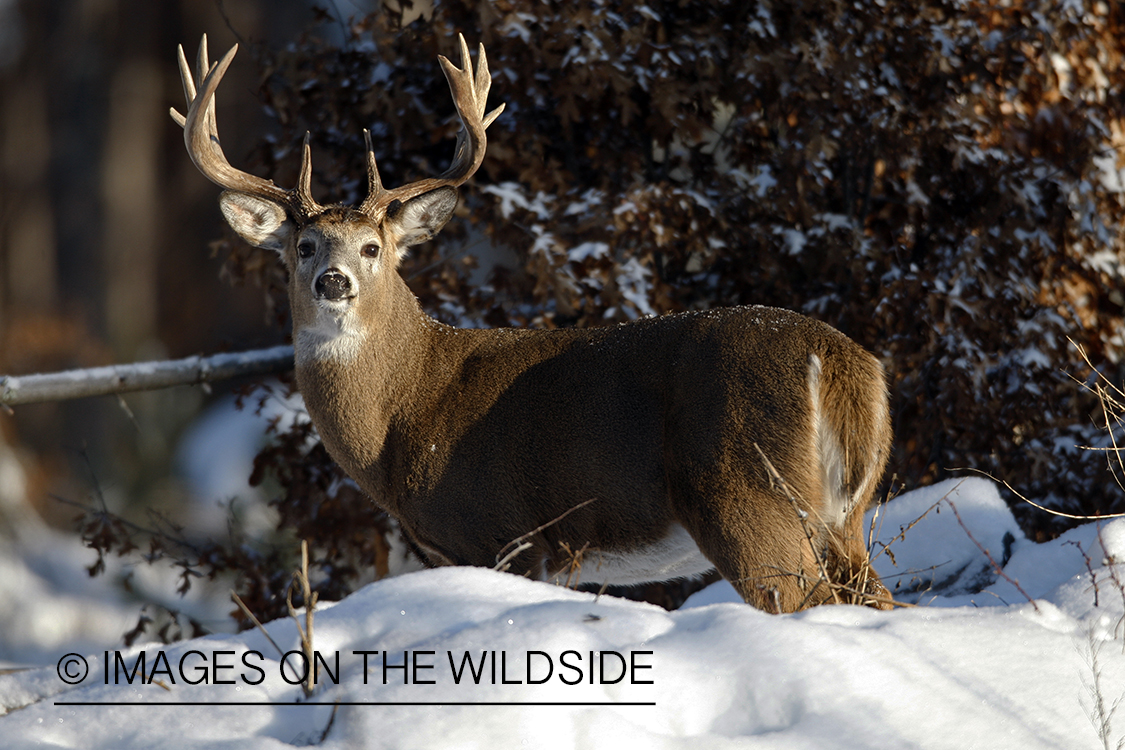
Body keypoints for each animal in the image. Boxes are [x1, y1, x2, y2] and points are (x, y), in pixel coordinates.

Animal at [171, 33, 891, 616]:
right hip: (846, 512)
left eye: (373, 248)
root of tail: (843, 366)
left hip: (745, 492)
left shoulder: (499, 532)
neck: (405, 413)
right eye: (303, 247)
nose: (334, 281)